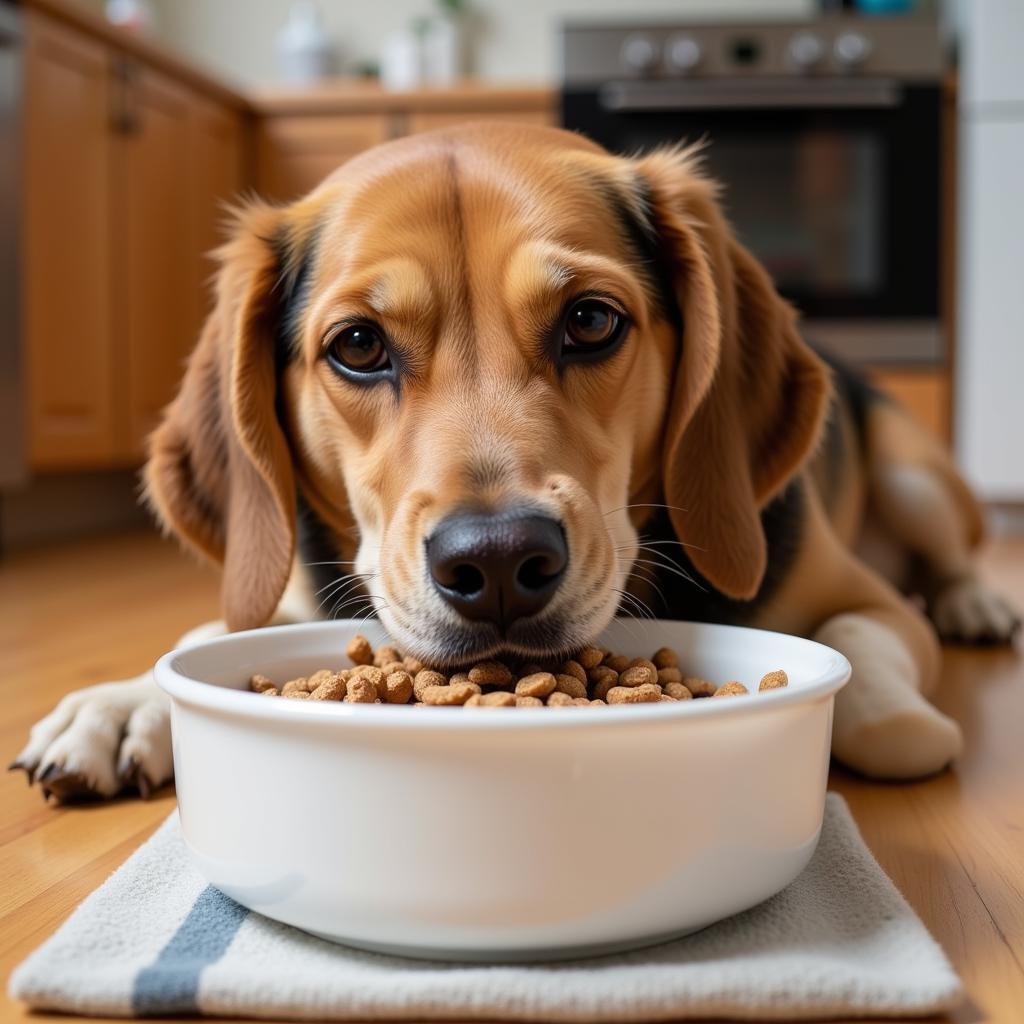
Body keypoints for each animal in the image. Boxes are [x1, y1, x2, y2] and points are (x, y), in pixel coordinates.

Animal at [12, 123, 1019, 798]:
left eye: (591, 320)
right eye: (357, 345)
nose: (496, 562)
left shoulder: (876, 607)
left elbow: (861, 651)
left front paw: (898, 719)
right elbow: (201, 636)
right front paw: (122, 705)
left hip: (917, 480)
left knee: (956, 555)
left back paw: (977, 602)